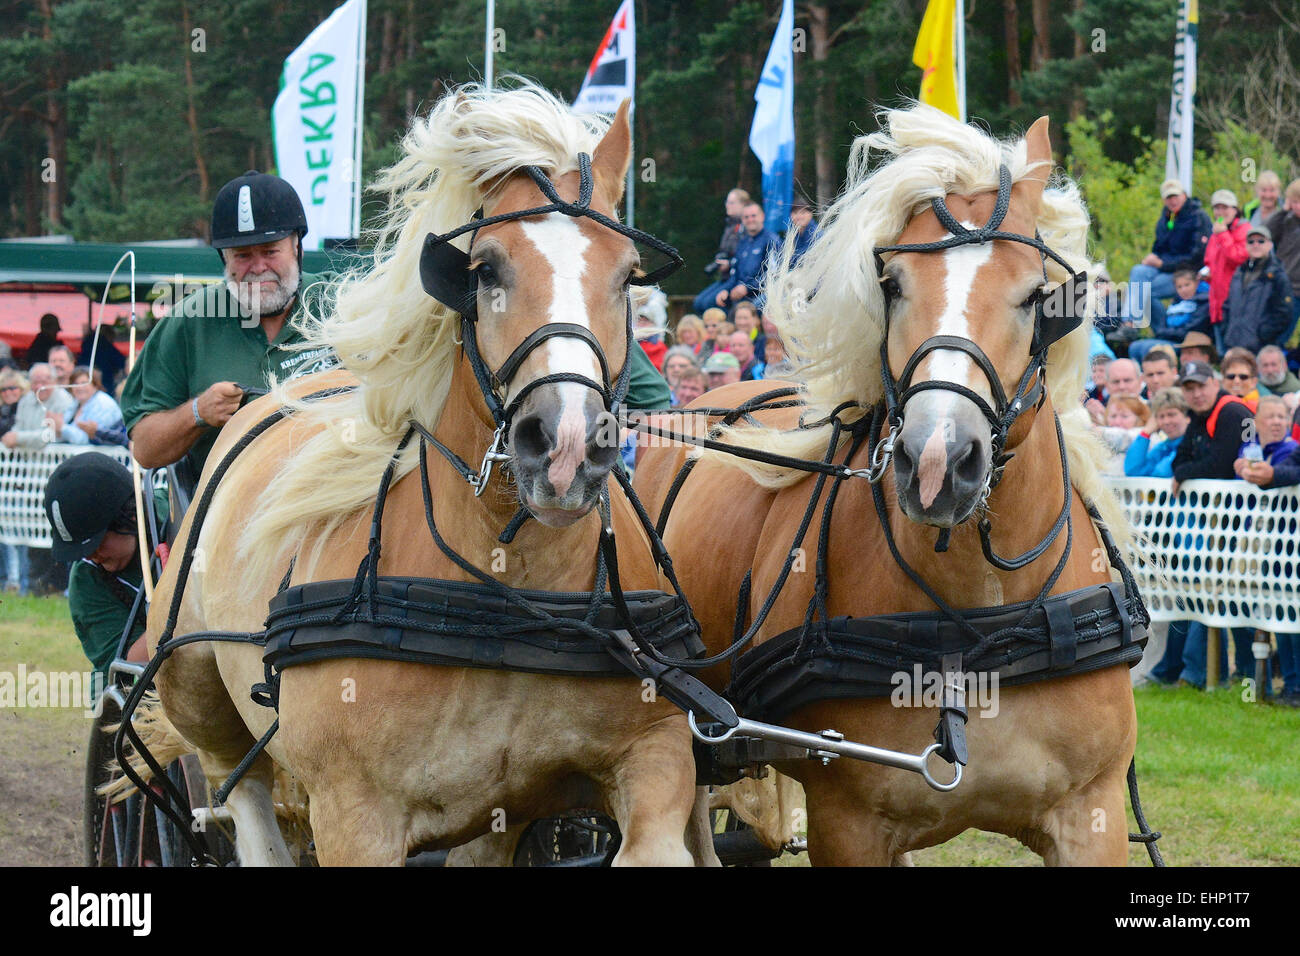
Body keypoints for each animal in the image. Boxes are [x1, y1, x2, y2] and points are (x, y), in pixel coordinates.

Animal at [137, 87, 712, 868]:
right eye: (487, 269)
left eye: (628, 274)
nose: (565, 447)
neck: (507, 589)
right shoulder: (354, 817)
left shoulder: (651, 757)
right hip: (198, 695)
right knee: (242, 795)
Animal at [634, 110, 1154, 868]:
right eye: (896, 283)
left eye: (1036, 294)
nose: (938, 460)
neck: (975, 627)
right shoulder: (847, 822)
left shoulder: (1092, 815)